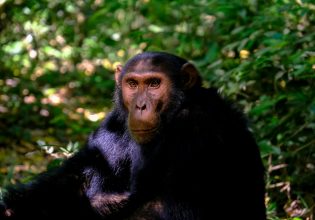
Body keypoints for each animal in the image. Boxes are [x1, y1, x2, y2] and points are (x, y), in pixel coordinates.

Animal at [0, 52, 266, 220]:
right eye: (132, 84)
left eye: (154, 83)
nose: (140, 106)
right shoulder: (114, 124)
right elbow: (78, 174)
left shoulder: (194, 126)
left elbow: (160, 205)